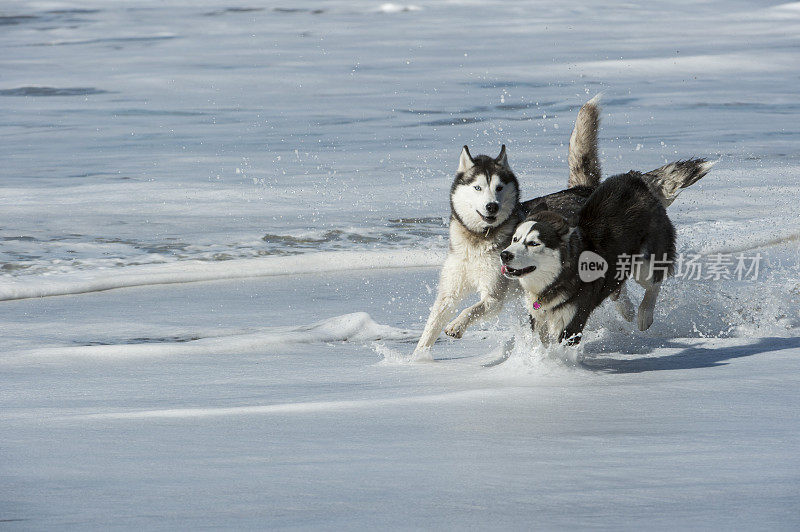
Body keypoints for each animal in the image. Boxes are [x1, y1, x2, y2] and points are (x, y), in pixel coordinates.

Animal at [500, 170, 676, 344]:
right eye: (515, 239)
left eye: (533, 243)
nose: (504, 255)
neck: (554, 281)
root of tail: (634, 179)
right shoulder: (538, 317)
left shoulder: (571, 322)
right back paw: (627, 309)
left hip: (645, 264)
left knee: (654, 283)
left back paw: (644, 315)